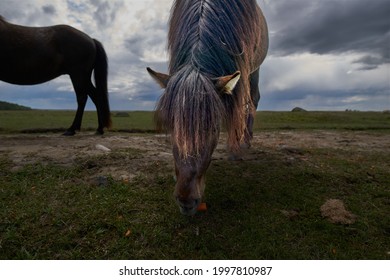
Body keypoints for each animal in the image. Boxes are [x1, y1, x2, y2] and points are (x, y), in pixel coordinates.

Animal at [147, 0, 268, 215]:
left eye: (213, 128)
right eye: (171, 126)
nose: (186, 201)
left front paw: (235, 149)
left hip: (254, 70)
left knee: (252, 99)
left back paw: (245, 141)